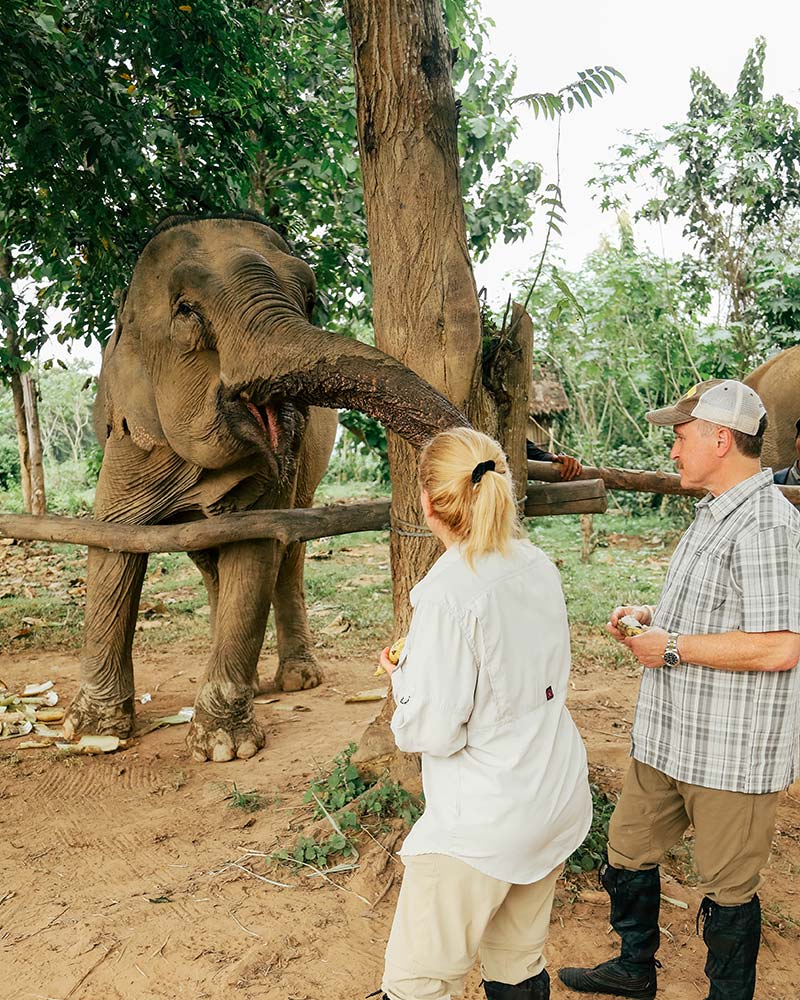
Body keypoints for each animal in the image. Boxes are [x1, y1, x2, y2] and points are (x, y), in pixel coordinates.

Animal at [64, 211, 468, 756]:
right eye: (186, 310)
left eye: (310, 299)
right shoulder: (130, 440)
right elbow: (113, 544)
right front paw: (92, 734)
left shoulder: (278, 473)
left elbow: (255, 547)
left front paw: (223, 747)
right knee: (209, 560)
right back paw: (255, 682)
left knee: (289, 551)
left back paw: (297, 679)